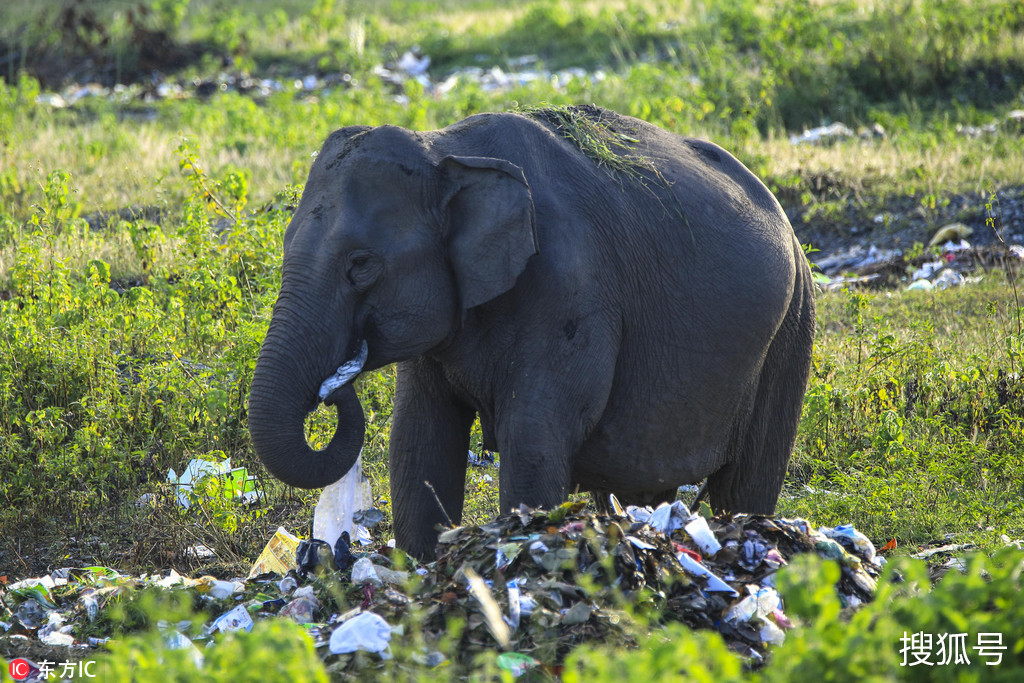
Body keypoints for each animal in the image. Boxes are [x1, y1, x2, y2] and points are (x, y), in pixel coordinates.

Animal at [249, 102, 815, 561]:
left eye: (361, 265)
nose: (333, 387)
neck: (445, 149)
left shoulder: (571, 288)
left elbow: (533, 438)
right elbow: (420, 439)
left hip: (790, 330)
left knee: (745, 487)